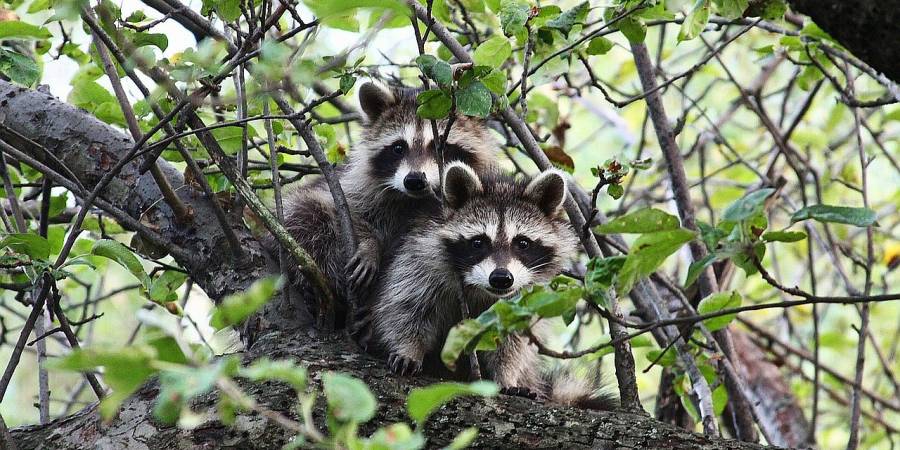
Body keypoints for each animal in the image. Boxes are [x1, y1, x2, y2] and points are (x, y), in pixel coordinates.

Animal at [370, 163, 616, 410]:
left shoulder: (524, 296)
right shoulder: (421, 259)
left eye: (522, 243)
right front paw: (408, 348)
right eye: (478, 242)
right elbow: (406, 306)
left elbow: (512, 341)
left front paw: (506, 375)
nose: (501, 278)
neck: (480, 289)